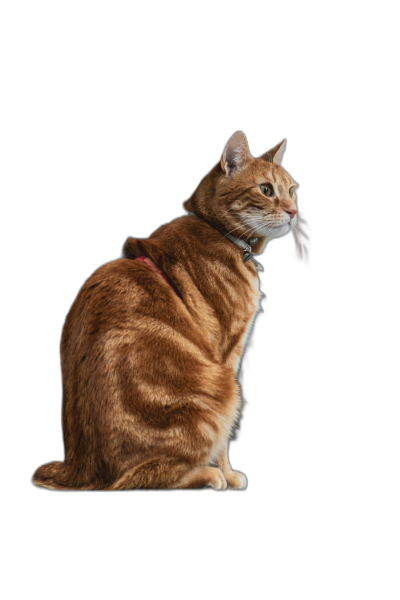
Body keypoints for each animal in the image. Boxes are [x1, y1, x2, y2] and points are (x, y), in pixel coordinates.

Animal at [33, 132, 304, 492]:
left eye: (291, 190)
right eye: (266, 189)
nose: (293, 211)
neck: (220, 233)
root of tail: (80, 470)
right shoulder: (226, 357)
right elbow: (223, 442)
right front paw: (228, 472)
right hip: (219, 392)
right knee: (141, 478)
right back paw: (207, 475)